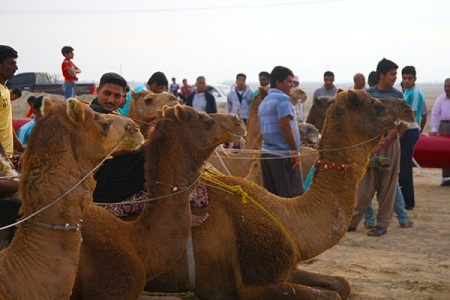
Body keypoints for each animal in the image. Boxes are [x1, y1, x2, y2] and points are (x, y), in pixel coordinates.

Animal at [146, 89, 414, 300]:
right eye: (376, 104)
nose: (407, 107)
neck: (286, 213)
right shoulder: (254, 285)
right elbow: (332, 295)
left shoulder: (287, 265)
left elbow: (342, 284)